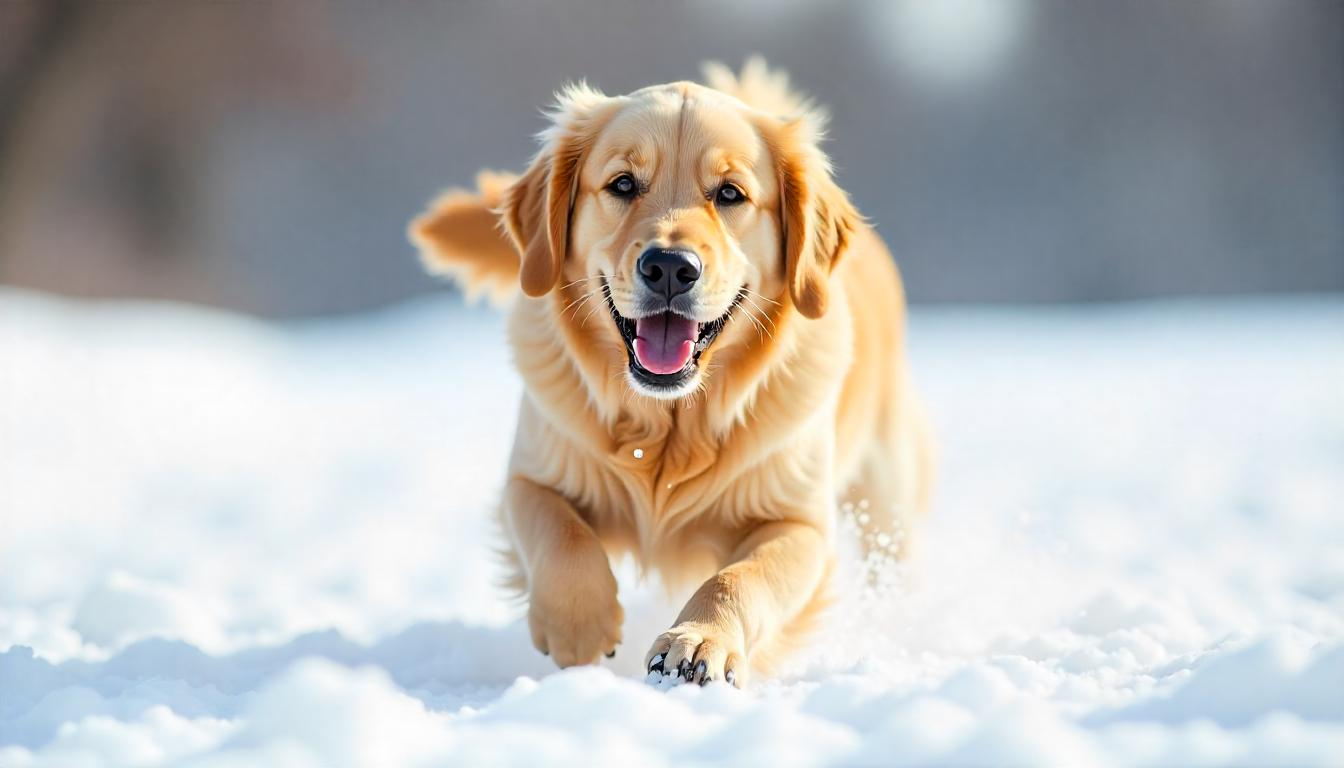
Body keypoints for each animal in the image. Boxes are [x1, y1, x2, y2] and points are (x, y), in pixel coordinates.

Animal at [413, 57, 930, 688]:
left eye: (731, 193)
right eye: (622, 184)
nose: (668, 266)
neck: (669, 424)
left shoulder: (799, 523)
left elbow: (740, 577)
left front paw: (697, 642)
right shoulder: (532, 476)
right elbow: (560, 535)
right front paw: (581, 627)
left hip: (889, 497)